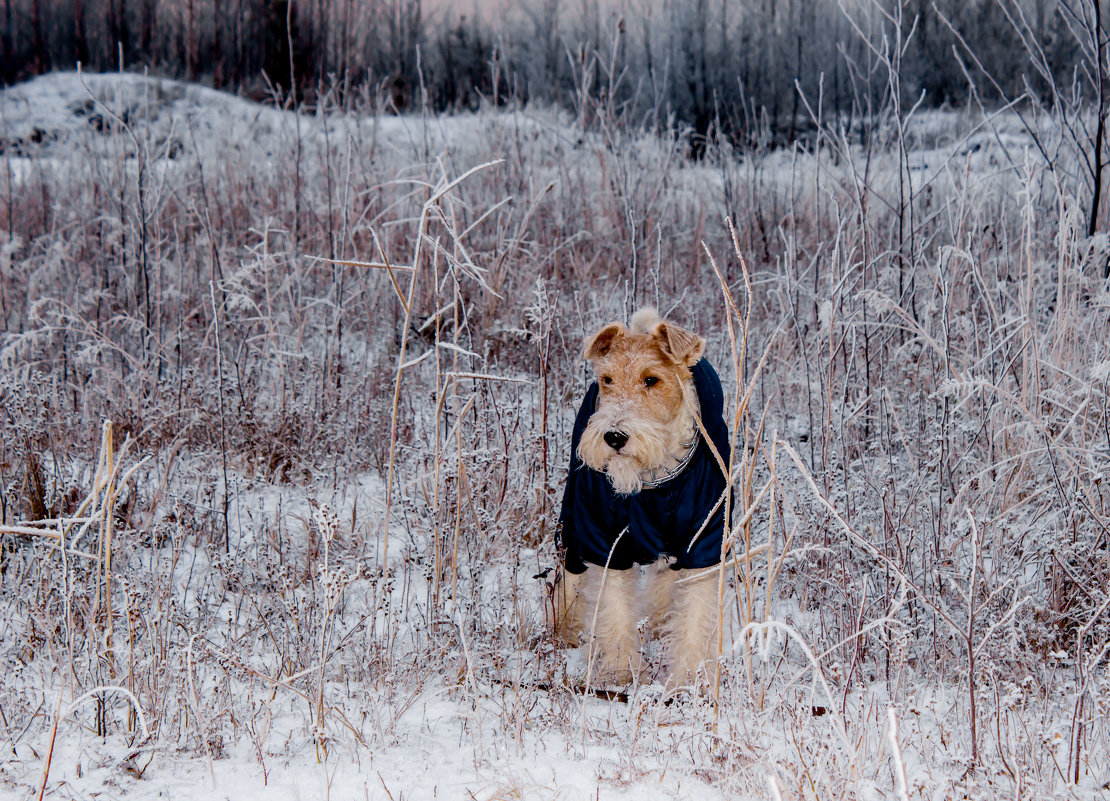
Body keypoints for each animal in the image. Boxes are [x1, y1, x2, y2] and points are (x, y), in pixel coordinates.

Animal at [555, 306, 728, 687]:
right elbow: (615, 610)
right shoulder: (607, 542)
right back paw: (565, 629)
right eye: (607, 379)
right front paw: (620, 672)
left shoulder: (704, 542)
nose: (615, 437)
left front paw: (688, 681)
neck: (655, 483)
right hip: (573, 522)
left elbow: (695, 616)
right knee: (570, 576)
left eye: (652, 379)